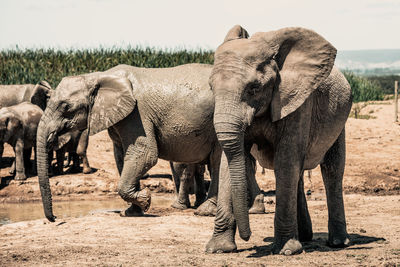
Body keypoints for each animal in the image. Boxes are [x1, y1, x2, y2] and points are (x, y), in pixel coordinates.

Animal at [205, 25, 352, 258]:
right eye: (211, 88)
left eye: (254, 88)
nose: (247, 237)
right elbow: (230, 161)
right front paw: (218, 249)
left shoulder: (297, 101)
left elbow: (285, 159)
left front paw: (286, 251)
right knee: (298, 171)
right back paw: (305, 237)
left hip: (340, 119)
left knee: (332, 170)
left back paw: (338, 242)